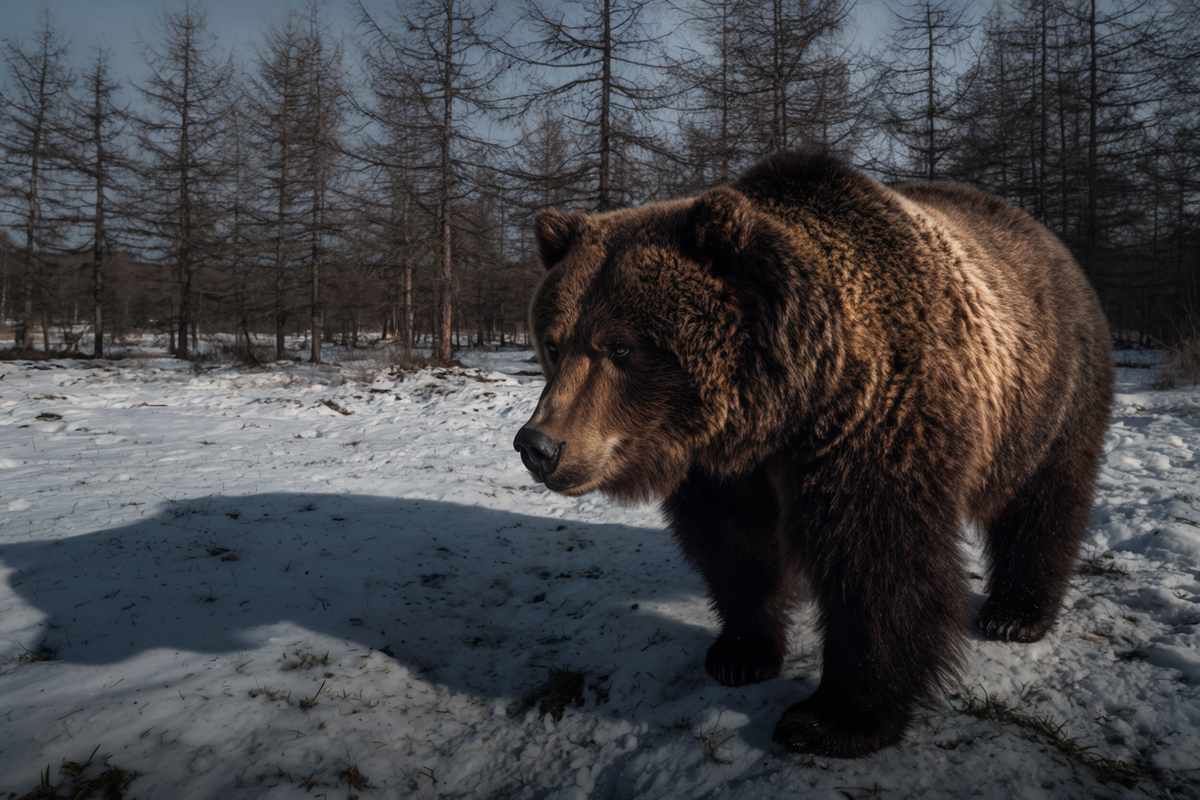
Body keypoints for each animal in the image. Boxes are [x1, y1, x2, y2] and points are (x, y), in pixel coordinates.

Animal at [512, 149, 1114, 758]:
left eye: (620, 347)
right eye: (554, 343)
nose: (538, 445)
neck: (784, 406)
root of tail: (1049, 240)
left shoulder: (873, 421)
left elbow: (874, 560)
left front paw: (834, 717)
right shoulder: (725, 468)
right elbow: (736, 548)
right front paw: (739, 653)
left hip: (1046, 394)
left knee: (1042, 502)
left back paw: (1015, 614)